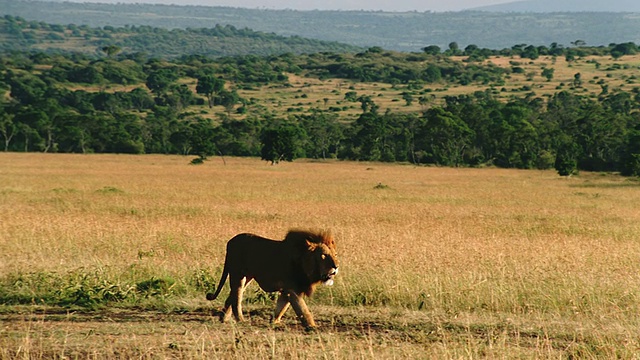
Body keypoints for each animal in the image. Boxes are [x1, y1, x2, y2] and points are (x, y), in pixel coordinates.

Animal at [208, 231, 340, 330]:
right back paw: (240, 319)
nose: (336, 266)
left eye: (335, 255)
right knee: (237, 296)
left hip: (247, 277)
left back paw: (224, 318)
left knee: (232, 295)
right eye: (323, 256)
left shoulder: (287, 289)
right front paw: (312, 327)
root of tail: (230, 242)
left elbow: (281, 307)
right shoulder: (293, 289)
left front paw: (274, 322)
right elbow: (303, 309)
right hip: (237, 274)